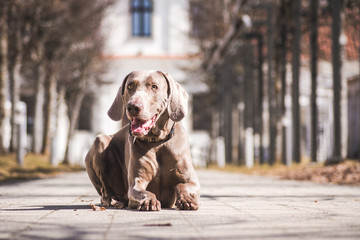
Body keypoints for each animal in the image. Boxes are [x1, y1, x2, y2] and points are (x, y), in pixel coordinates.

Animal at [86, 70, 201, 211]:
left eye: (154, 87)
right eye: (130, 86)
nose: (133, 107)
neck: (157, 142)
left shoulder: (192, 181)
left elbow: (182, 185)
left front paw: (187, 200)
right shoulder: (136, 183)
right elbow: (144, 191)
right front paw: (150, 201)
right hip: (100, 141)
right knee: (104, 192)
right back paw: (114, 200)